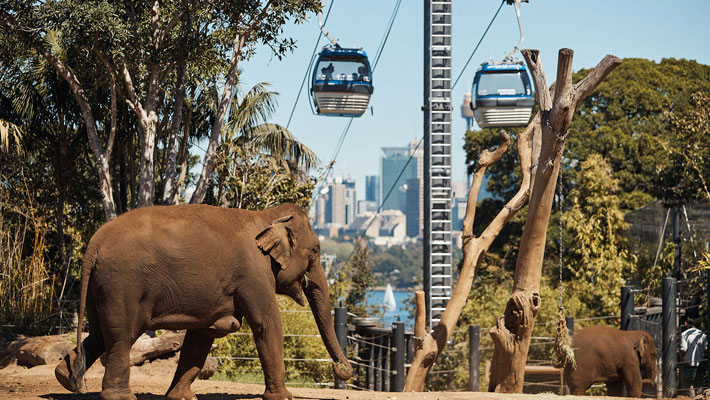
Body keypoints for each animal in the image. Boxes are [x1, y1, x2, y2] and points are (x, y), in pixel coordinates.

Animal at [54, 203, 352, 400]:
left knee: (99, 333)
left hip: (101, 286)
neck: (266, 216)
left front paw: (182, 398)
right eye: (315, 251)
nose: (342, 369)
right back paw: (122, 397)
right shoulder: (254, 274)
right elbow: (267, 324)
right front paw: (283, 398)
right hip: (123, 284)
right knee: (121, 337)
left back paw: (64, 377)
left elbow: (202, 335)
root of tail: (94, 243)